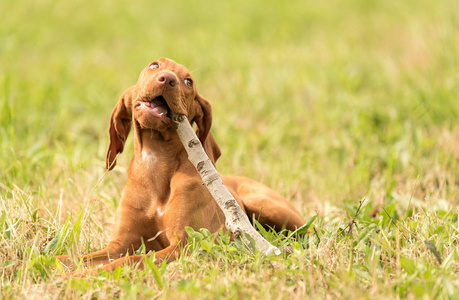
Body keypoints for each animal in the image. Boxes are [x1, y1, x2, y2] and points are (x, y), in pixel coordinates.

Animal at [59, 57, 308, 276]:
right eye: (154, 65)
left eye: (188, 81)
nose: (168, 79)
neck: (156, 166)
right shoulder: (119, 244)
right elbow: (72, 258)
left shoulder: (185, 245)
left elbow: (130, 260)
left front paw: (81, 276)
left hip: (266, 205)